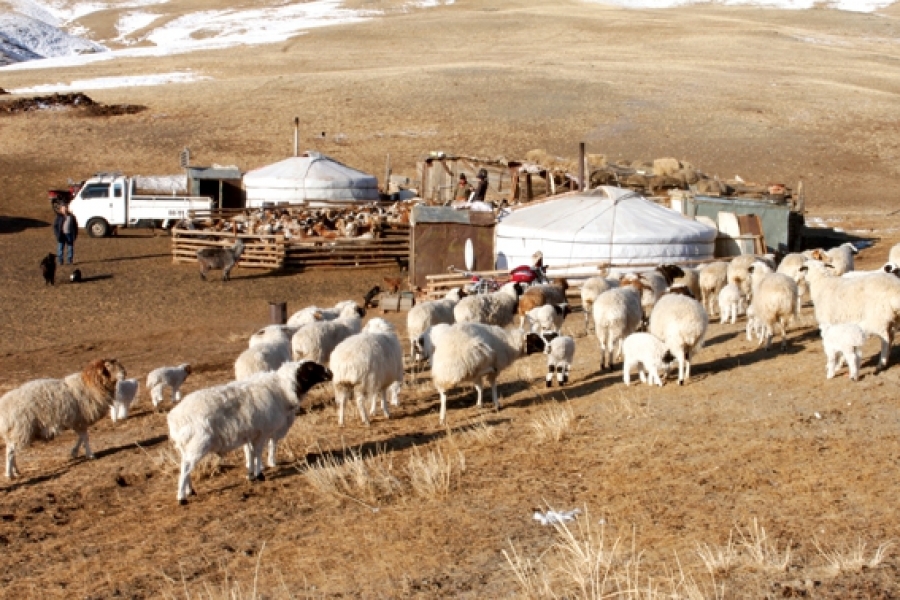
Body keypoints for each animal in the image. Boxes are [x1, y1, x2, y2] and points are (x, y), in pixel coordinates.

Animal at [167, 358, 332, 504]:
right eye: (310, 368)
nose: (330, 372)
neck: (281, 390)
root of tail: (174, 418)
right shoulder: (262, 431)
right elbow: (258, 452)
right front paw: (259, 475)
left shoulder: (250, 433)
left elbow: (250, 453)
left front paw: (251, 475)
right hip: (199, 442)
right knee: (186, 467)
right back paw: (182, 498)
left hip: (187, 445)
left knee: (186, 465)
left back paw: (190, 491)